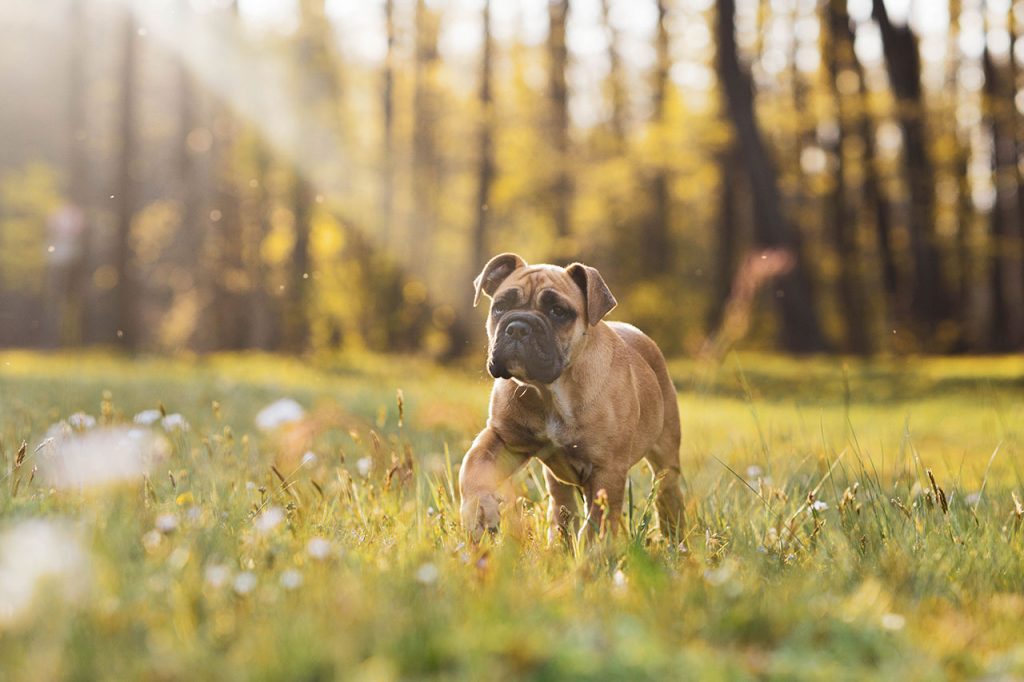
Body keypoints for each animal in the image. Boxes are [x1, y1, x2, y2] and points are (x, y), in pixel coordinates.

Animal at [460, 250, 684, 540]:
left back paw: (674, 535)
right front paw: (479, 511)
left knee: (667, 492)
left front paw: (594, 550)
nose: (518, 327)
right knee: (562, 503)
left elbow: (599, 521)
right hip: (557, 478)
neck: (549, 391)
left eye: (558, 312)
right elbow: (474, 465)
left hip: (666, 452)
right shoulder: (504, 439)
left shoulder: (606, 470)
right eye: (500, 306)